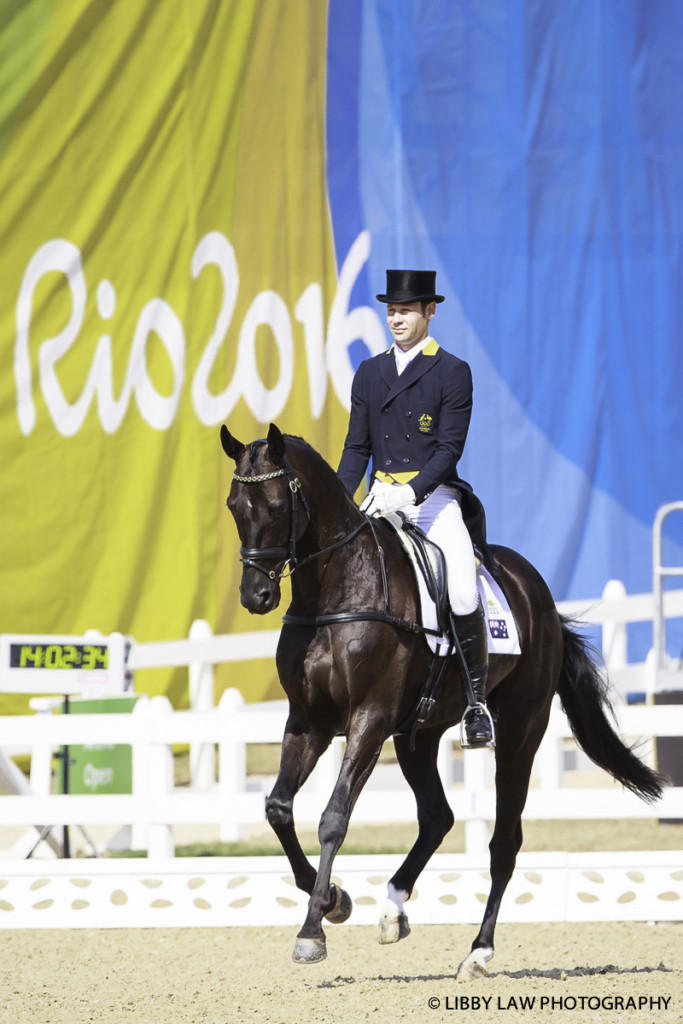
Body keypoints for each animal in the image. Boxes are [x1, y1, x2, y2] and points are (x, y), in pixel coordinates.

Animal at [222, 421, 663, 974]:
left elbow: (333, 818)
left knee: (504, 842)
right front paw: (336, 902)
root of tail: (536, 589)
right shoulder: (308, 722)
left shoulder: (368, 721)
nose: (254, 597)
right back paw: (392, 910)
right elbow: (279, 808)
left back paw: (478, 951)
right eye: (234, 505)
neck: (334, 592)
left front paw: (313, 930)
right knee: (438, 817)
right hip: (418, 736)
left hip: (520, 733)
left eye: (279, 506)